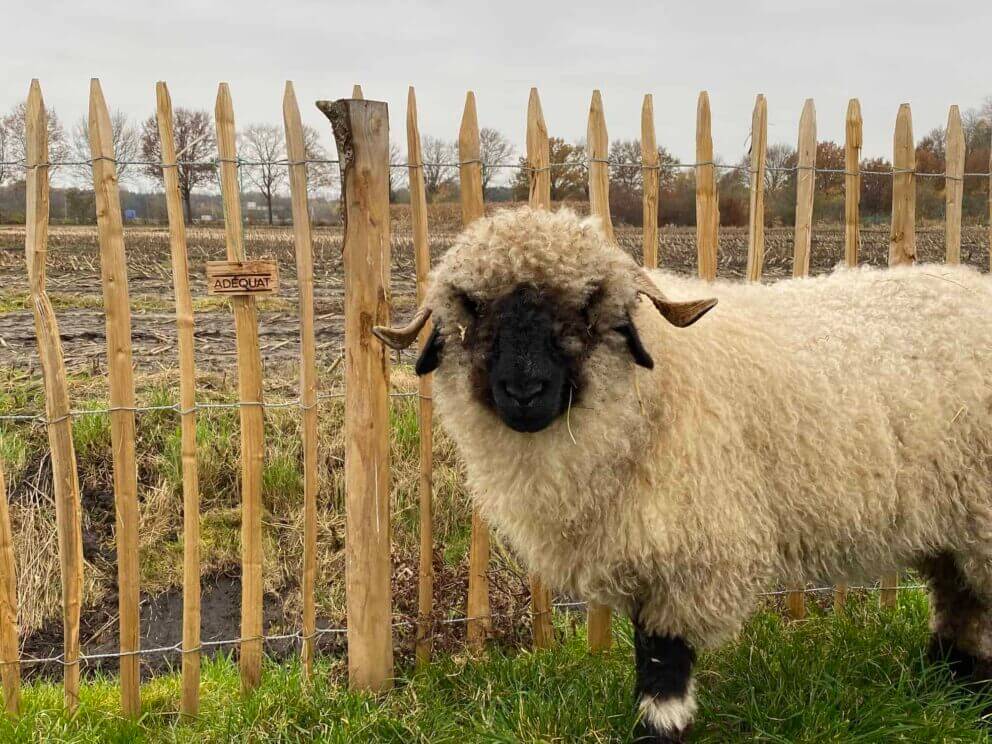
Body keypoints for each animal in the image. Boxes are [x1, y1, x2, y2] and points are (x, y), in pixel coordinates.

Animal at [372, 208, 992, 744]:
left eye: (588, 306)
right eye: (472, 309)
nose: (525, 392)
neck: (651, 392)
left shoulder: (688, 552)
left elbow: (663, 662)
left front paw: (658, 731)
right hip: (953, 518)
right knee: (960, 599)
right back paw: (953, 682)